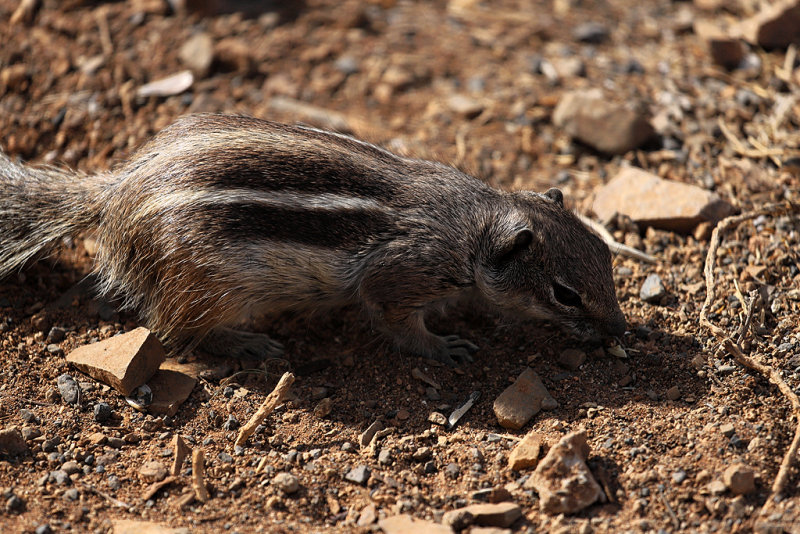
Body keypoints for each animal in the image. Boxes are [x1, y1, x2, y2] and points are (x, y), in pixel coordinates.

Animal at [0, 114, 624, 366]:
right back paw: (248, 344)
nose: (621, 330)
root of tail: (113, 197)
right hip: (209, 285)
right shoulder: (401, 275)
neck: (471, 227)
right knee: (178, 330)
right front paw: (443, 346)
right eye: (566, 294)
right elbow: (397, 322)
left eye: (606, 254)